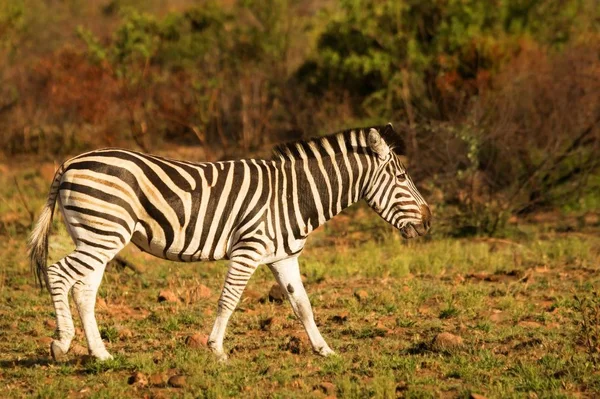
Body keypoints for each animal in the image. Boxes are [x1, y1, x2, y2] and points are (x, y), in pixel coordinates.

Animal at [29, 124, 432, 362]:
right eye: (401, 176)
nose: (429, 221)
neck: (294, 194)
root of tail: (70, 161)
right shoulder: (249, 249)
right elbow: (229, 299)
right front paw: (217, 349)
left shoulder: (283, 256)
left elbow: (303, 305)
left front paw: (324, 349)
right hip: (103, 233)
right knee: (59, 274)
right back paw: (61, 344)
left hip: (96, 235)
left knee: (84, 290)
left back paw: (100, 354)